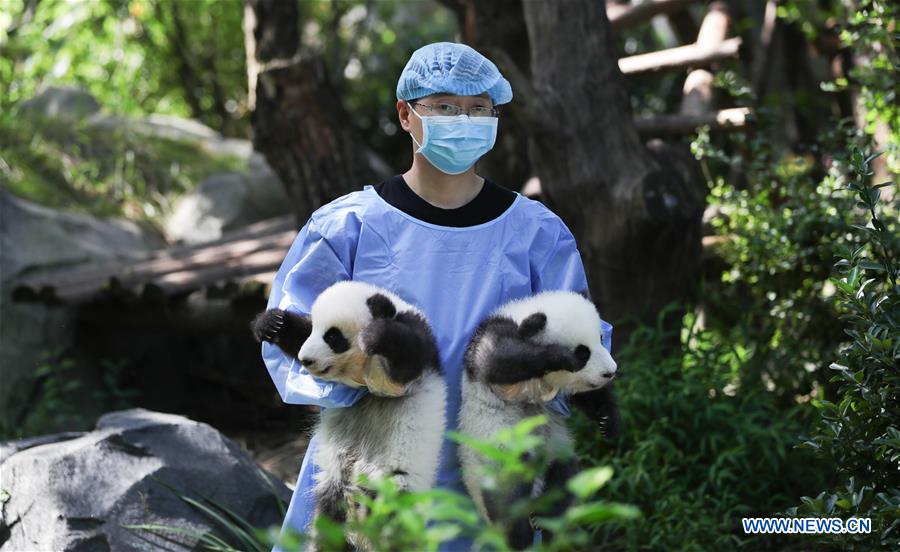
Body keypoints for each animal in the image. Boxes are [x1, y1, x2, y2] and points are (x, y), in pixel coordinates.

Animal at [251, 280, 447, 549]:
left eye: (333, 337)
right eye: (315, 330)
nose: (306, 359)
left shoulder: (418, 347)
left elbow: (406, 362)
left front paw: (377, 335)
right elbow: (295, 332)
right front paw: (273, 323)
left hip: (397, 488)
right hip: (335, 488)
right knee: (329, 526)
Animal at [458, 290, 619, 549]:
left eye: (602, 339)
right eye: (583, 352)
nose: (610, 372)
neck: (522, 315)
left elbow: (587, 394)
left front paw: (608, 422)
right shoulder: (490, 336)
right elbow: (498, 361)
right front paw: (561, 357)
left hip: (556, 449)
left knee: (564, 478)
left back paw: (549, 523)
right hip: (497, 453)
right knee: (509, 494)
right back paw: (519, 536)